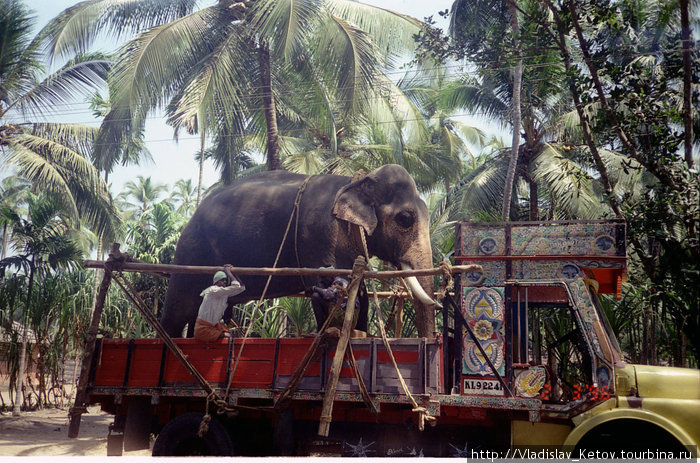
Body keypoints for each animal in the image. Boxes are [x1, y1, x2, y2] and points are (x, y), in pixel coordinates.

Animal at [161, 165, 440, 338]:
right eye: (405, 219)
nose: (432, 340)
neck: (355, 182)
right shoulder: (318, 234)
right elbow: (323, 281)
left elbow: (357, 288)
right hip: (189, 256)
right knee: (175, 314)